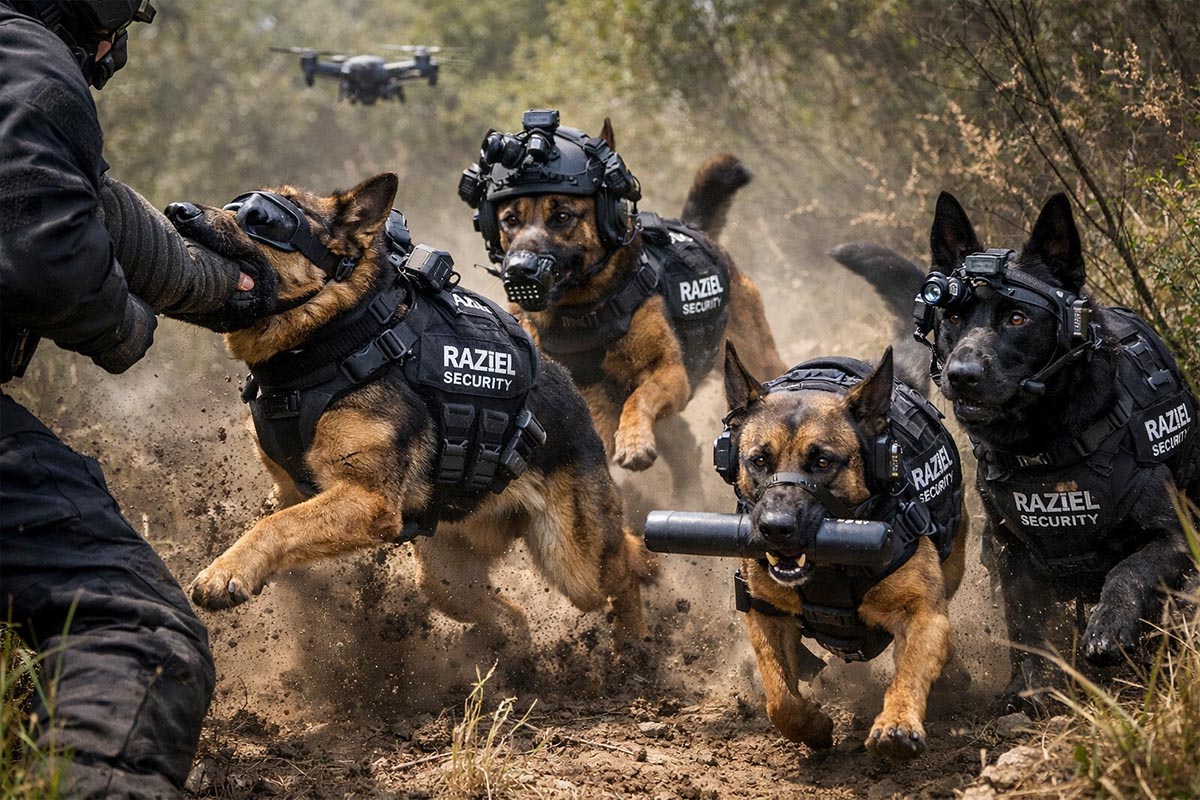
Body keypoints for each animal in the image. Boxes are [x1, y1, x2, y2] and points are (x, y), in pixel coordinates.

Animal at [164, 172, 655, 662]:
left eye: (261, 218)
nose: (176, 212)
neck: (340, 339)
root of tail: (574, 396)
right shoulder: (290, 490)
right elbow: (273, 520)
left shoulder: (367, 500)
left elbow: (274, 525)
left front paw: (226, 570)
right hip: (446, 578)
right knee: (511, 616)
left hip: (573, 562)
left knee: (626, 562)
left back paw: (637, 644)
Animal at [479, 117, 786, 472]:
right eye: (510, 220)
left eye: (562, 216)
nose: (519, 270)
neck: (583, 313)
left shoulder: (669, 373)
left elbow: (638, 397)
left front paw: (634, 441)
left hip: (760, 357)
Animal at [721, 343, 967, 759]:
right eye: (759, 461)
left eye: (822, 461)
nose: (775, 528)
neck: (828, 568)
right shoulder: (766, 614)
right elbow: (780, 701)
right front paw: (813, 725)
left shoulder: (924, 614)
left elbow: (910, 672)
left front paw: (898, 723)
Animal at [922, 191, 1199, 711]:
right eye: (953, 317)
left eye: (1017, 317)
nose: (960, 374)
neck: (1045, 447)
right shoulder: (1010, 555)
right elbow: (1025, 625)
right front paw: (1028, 689)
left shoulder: (1175, 537)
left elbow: (1128, 570)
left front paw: (1109, 627)